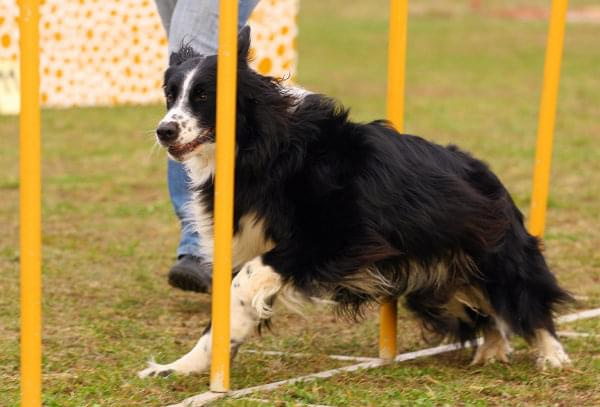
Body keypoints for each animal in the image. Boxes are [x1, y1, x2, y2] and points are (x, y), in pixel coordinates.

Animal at [137, 27, 572, 380]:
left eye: (204, 96)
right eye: (169, 96)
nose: (164, 131)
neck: (260, 145)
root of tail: (483, 171)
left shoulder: (340, 236)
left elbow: (252, 275)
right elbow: (227, 301)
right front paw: (181, 367)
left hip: (489, 247)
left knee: (522, 294)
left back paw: (552, 356)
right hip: (436, 281)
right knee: (483, 311)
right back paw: (493, 350)